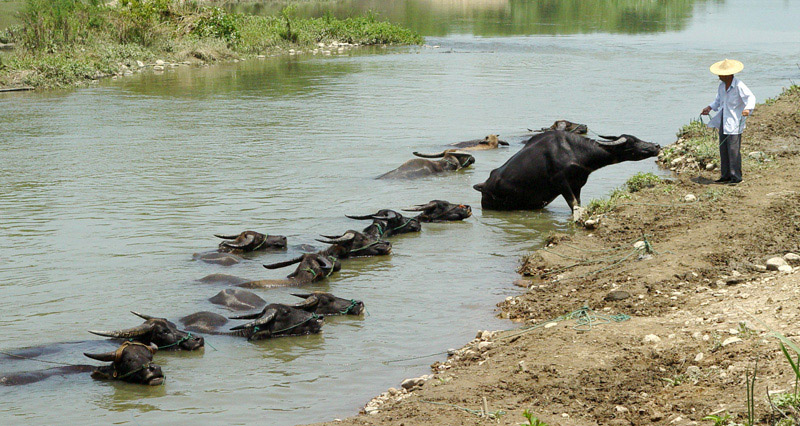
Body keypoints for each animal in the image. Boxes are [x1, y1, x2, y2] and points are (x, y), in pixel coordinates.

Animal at [472, 131, 660, 220]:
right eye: (632, 142)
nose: (656, 146)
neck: (576, 151)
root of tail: (483, 186)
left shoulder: (577, 184)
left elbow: (577, 204)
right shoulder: (561, 183)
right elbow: (574, 203)